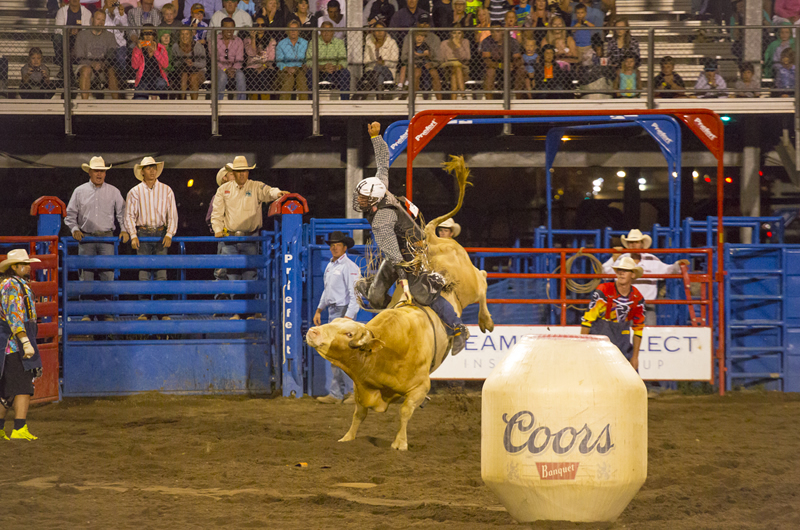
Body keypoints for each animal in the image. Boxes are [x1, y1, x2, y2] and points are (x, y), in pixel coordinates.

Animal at [306, 155, 494, 448]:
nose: (313, 331)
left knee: (483, 279)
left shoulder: (420, 386)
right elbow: (359, 413)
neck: (385, 351)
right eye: (333, 324)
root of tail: (432, 236)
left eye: (348, 333)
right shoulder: (363, 389)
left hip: (468, 284)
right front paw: (347, 438)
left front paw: (399, 443)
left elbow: (405, 411)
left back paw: (484, 322)